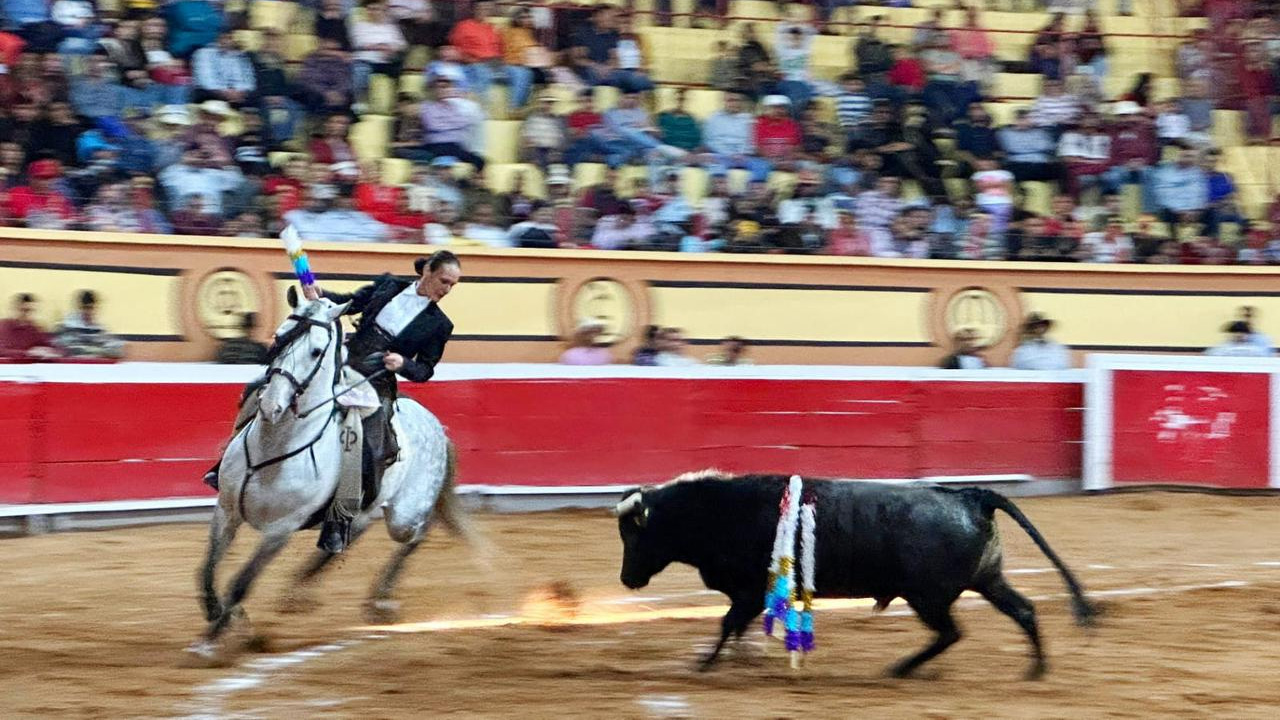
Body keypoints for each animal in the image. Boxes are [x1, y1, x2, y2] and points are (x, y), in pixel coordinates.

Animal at [189, 293, 471, 655]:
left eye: (315, 350)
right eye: (280, 337)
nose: (271, 405)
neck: (274, 445)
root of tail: (438, 426)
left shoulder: (281, 530)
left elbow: (242, 582)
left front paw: (210, 643)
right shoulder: (226, 510)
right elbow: (207, 568)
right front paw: (223, 616)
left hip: (405, 514)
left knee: (418, 533)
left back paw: (381, 601)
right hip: (363, 508)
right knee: (352, 534)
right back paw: (299, 592)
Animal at [614, 474, 1095, 676]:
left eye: (635, 536)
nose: (627, 579)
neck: (715, 512)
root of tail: (972, 496)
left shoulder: (749, 591)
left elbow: (727, 623)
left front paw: (706, 663)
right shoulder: (752, 595)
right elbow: (738, 626)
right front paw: (738, 658)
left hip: (928, 596)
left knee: (950, 632)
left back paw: (901, 668)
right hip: (987, 581)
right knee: (1024, 611)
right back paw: (1036, 669)